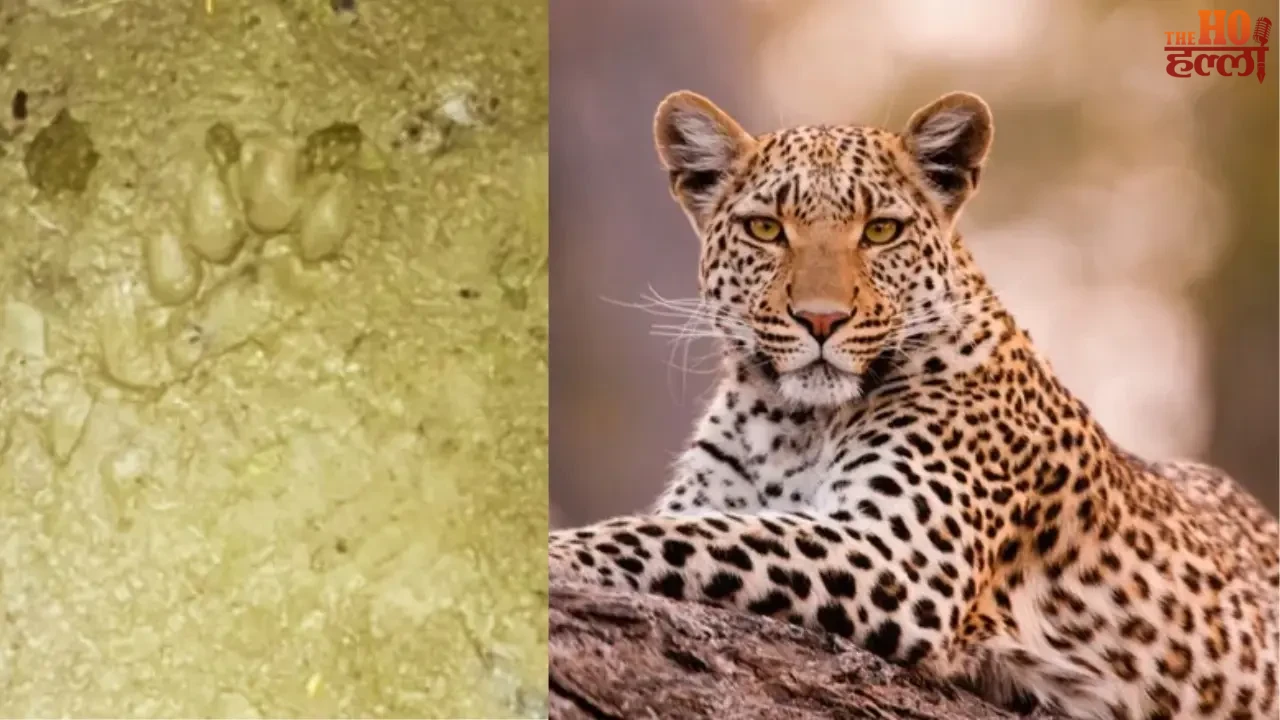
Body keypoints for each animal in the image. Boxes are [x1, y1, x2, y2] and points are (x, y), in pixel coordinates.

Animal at [548, 89, 1279, 720]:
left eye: (880, 231)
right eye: (765, 229)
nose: (821, 320)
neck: (792, 423)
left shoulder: (903, 555)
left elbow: (693, 536)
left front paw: (556, 553)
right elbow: (691, 524)